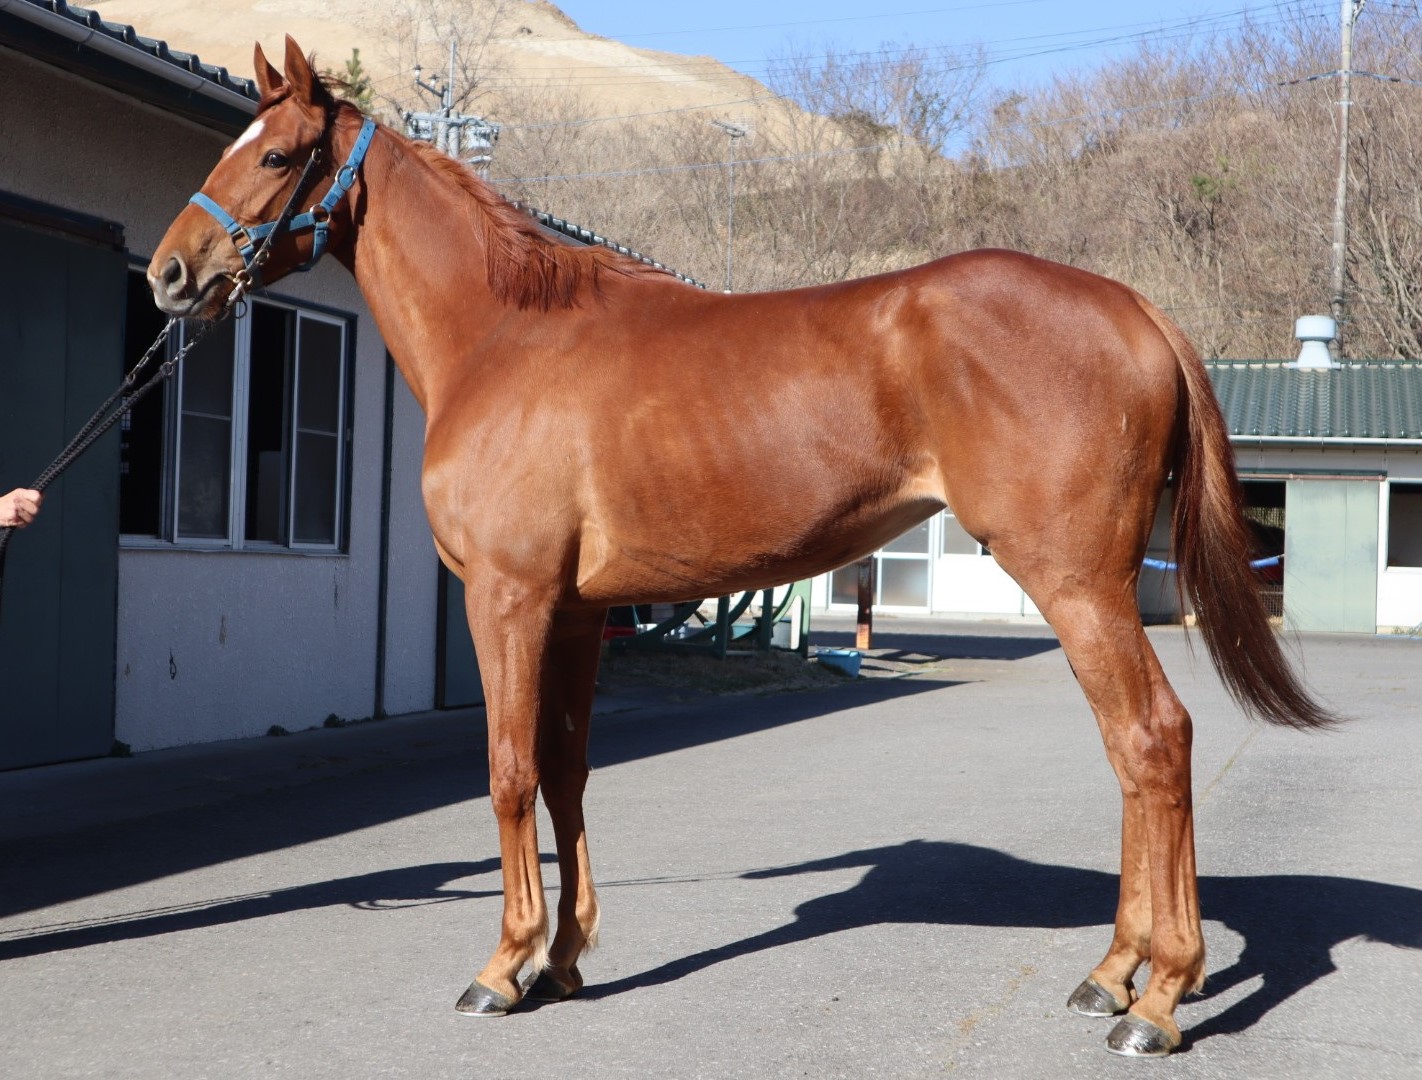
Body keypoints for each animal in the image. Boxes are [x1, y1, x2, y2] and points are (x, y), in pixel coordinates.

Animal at [147, 36, 1333, 1057]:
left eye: (279, 155)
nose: (168, 275)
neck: (504, 338)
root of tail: (1136, 308)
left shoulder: (511, 600)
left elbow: (508, 772)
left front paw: (502, 968)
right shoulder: (578, 613)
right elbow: (568, 772)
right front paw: (565, 960)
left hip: (1077, 581)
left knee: (1152, 740)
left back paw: (1160, 997)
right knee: (1135, 755)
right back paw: (1115, 972)